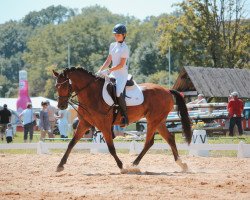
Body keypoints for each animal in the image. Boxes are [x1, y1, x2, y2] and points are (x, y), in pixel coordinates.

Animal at [52, 68, 191, 173]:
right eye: (56, 86)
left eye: (65, 85)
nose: (61, 106)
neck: (91, 95)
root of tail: (167, 90)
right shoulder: (84, 123)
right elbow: (71, 143)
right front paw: (60, 165)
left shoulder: (104, 126)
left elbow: (111, 148)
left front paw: (122, 166)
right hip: (159, 121)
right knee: (169, 138)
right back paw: (181, 164)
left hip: (153, 120)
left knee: (149, 142)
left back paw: (133, 164)